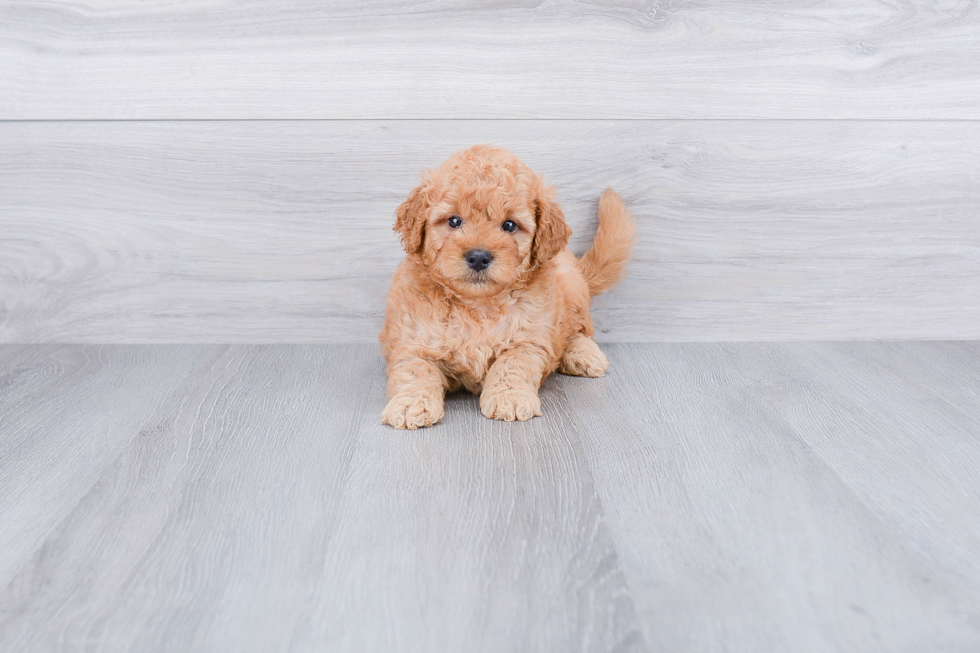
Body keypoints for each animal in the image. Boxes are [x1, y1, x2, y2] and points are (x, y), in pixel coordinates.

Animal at [376, 144, 636, 428]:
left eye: (509, 225)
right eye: (454, 221)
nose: (479, 257)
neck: (477, 305)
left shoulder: (529, 339)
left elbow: (512, 364)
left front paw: (509, 398)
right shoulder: (413, 342)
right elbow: (415, 371)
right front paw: (411, 404)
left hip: (572, 290)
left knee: (577, 330)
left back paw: (583, 354)